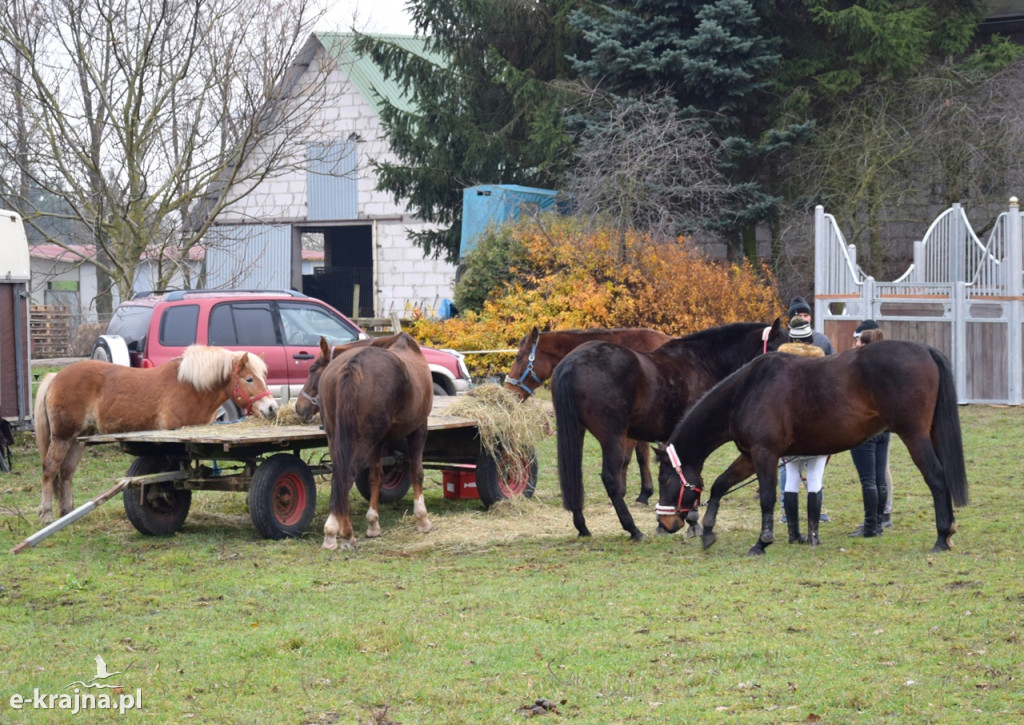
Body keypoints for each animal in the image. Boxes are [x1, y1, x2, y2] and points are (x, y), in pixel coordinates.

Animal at [35, 348, 276, 524]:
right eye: (249, 379)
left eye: (264, 376)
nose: (271, 408)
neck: (191, 387)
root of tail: (56, 376)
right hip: (62, 437)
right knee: (50, 469)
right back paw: (46, 514)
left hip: (78, 439)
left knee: (66, 473)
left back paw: (67, 512)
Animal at [292, 333, 432, 548]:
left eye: (312, 369)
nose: (299, 407)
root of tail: (353, 363)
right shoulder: (418, 429)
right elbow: (417, 472)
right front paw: (422, 519)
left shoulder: (380, 441)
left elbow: (375, 477)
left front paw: (373, 524)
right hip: (364, 440)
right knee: (346, 476)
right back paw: (344, 534)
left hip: (337, 439)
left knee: (338, 477)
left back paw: (334, 531)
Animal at [503, 325, 671, 501]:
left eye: (518, 358)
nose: (508, 391)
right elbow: (641, 456)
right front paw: (644, 492)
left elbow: (629, 458)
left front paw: (630, 492)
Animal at [552, 319, 782, 540]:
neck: (702, 362)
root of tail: (572, 363)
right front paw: (691, 523)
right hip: (612, 438)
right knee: (610, 479)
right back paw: (633, 529)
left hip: (578, 433)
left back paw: (582, 527)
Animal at [655, 337, 966, 557]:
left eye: (665, 480)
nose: (665, 524)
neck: (747, 391)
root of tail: (926, 350)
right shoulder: (749, 455)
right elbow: (720, 484)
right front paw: (708, 531)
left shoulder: (765, 454)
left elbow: (767, 497)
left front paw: (761, 542)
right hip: (931, 434)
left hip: (915, 436)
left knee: (937, 478)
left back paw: (942, 536)